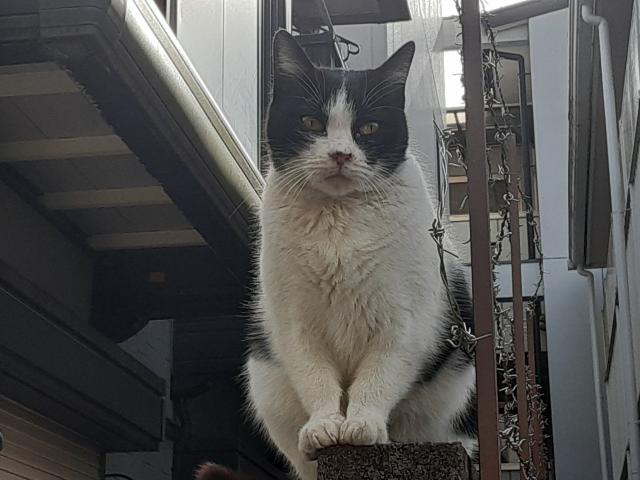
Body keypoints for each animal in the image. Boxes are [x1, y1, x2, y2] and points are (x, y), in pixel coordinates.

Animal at [244, 30, 477, 480]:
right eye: (311, 123)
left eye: (368, 127)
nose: (341, 154)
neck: (340, 222)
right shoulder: (295, 322)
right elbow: (314, 376)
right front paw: (324, 426)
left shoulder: (405, 321)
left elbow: (381, 374)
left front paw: (363, 423)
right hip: (265, 380)